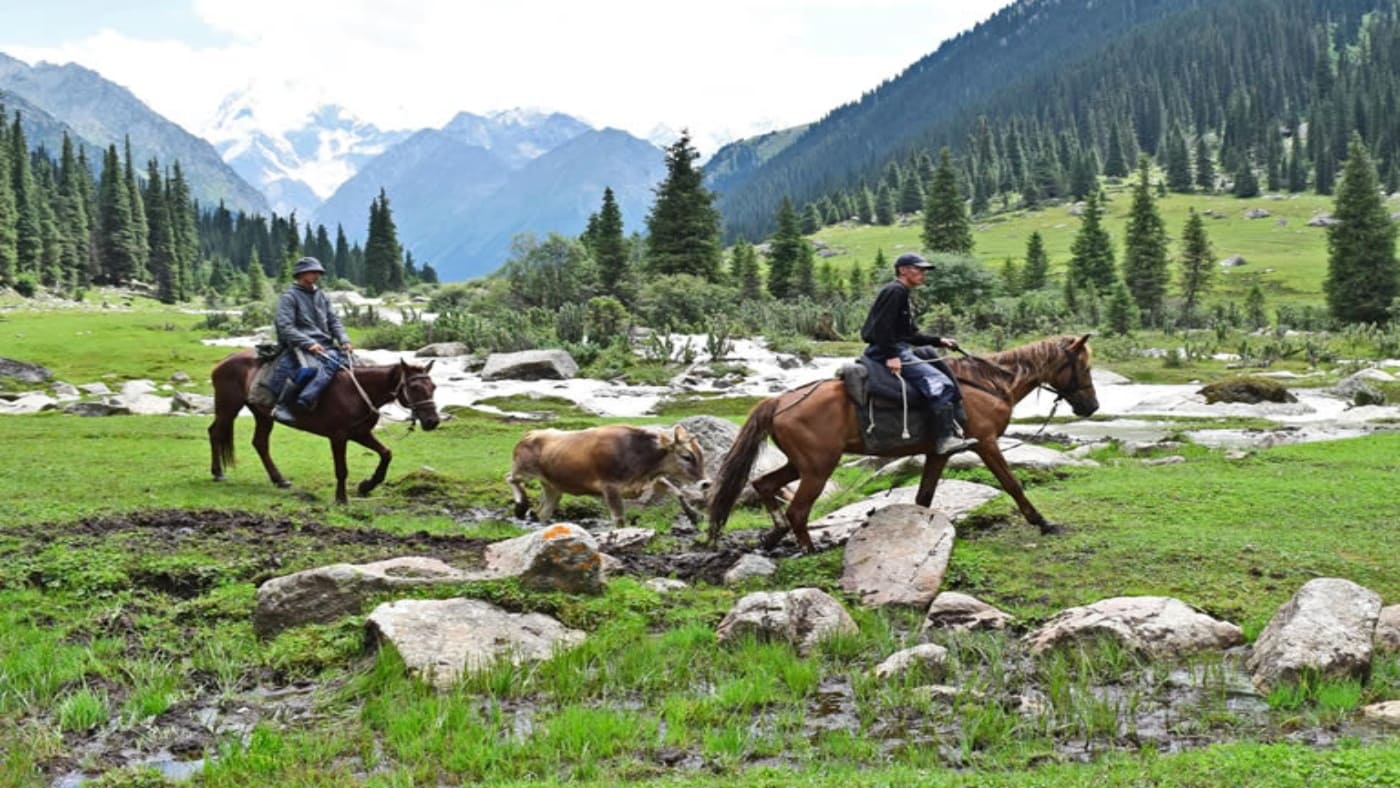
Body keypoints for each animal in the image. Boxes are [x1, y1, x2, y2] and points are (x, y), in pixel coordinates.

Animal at [204, 352, 436, 506]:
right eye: (414, 387)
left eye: (433, 387)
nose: (432, 421)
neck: (357, 392)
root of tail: (222, 362)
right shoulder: (339, 437)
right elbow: (341, 469)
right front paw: (341, 499)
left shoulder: (360, 434)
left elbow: (386, 453)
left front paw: (366, 485)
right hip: (228, 408)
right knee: (216, 432)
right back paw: (218, 473)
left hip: (262, 415)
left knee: (260, 443)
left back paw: (279, 479)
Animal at [506, 422, 711, 526]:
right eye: (686, 456)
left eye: (702, 453)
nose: (706, 483)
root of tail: (529, 434)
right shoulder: (609, 486)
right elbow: (619, 518)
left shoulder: (651, 480)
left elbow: (677, 492)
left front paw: (694, 515)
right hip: (524, 469)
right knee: (510, 478)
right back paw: (521, 505)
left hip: (553, 486)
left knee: (544, 512)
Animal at [711, 335, 1092, 551]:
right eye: (1085, 366)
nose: (1091, 406)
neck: (990, 383)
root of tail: (780, 401)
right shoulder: (984, 443)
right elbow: (1012, 483)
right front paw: (1042, 522)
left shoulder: (938, 452)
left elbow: (924, 495)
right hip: (818, 468)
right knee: (797, 509)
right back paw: (807, 547)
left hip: (800, 464)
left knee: (764, 484)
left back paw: (774, 534)